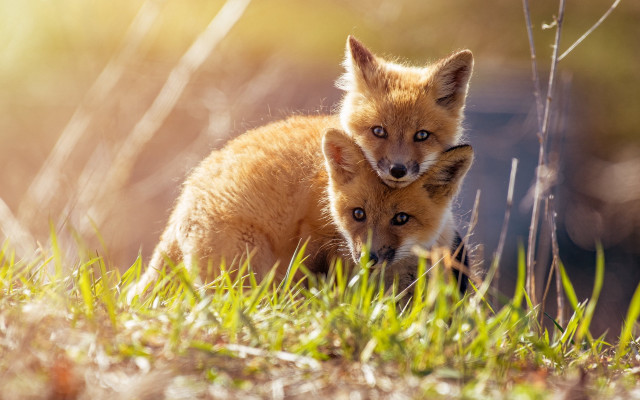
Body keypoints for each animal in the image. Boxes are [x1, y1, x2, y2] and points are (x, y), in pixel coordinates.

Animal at [131, 116, 473, 297]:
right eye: (358, 214)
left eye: (401, 218)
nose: (369, 257)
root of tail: (186, 194)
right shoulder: (317, 242)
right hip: (250, 267)